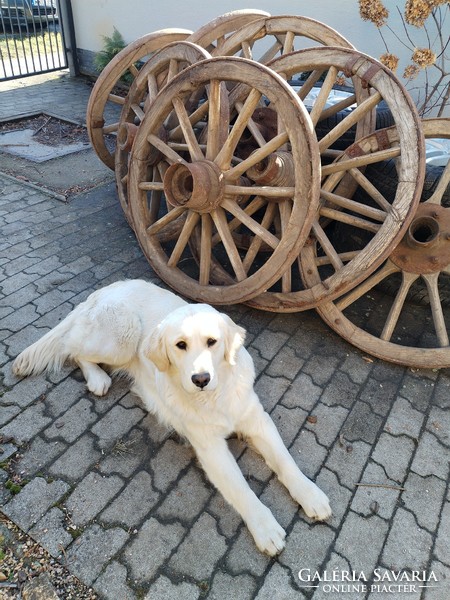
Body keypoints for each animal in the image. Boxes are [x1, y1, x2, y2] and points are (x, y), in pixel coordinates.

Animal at [13, 278, 330, 556]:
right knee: (73, 350)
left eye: (212, 342)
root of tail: (104, 290)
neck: (215, 396)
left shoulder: (257, 421)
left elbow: (285, 461)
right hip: (123, 336)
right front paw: (265, 527)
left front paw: (311, 494)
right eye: (180, 345)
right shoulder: (210, 448)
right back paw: (97, 378)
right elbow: (242, 489)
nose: (200, 379)